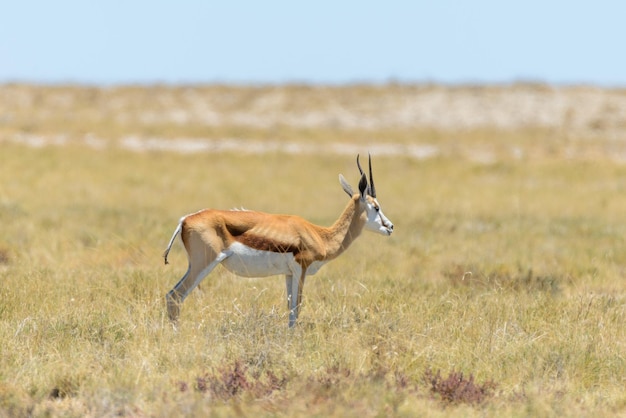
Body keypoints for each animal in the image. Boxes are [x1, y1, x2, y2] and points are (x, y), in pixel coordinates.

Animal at [163, 155, 392, 328]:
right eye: (376, 207)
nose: (390, 227)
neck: (320, 235)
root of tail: (185, 220)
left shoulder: (289, 273)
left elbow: (290, 307)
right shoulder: (301, 268)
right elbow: (297, 306)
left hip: (194, 265)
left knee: (171, 295)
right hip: (205, 263)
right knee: (176, 296)